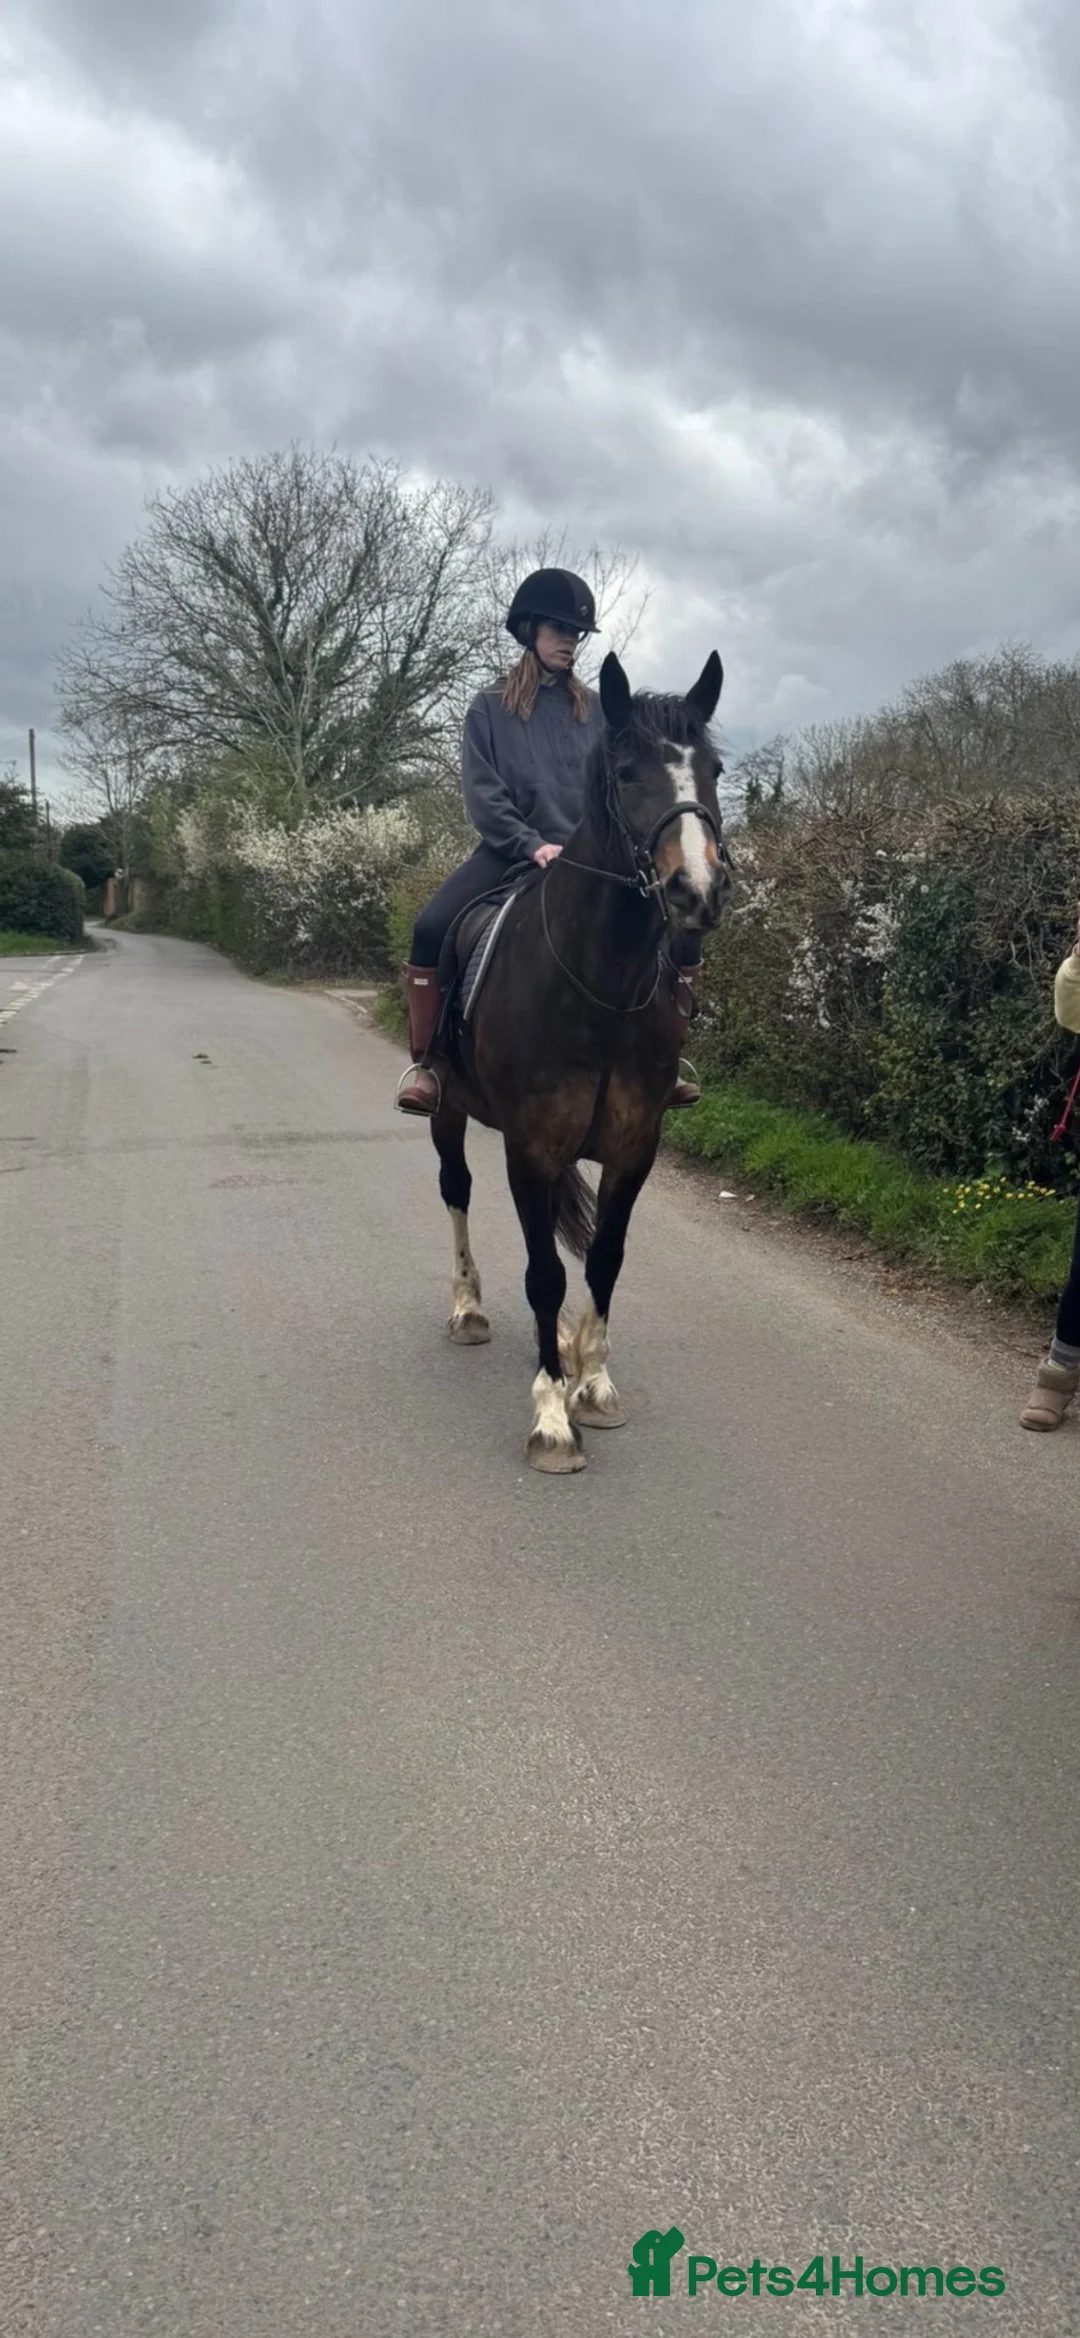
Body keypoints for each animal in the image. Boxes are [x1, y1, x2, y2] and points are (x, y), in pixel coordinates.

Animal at [427, 648, 734, 1473]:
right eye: (626, 771)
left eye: (715, 769)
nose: (697, 890)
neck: (601, 986)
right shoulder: (529, 1150)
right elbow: (543, 1272)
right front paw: (550, 1417)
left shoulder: (634, 1148)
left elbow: (603, 1260)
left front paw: (590, 1382)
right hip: (445, 1112)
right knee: (456, 1191)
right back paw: (467, 1308)